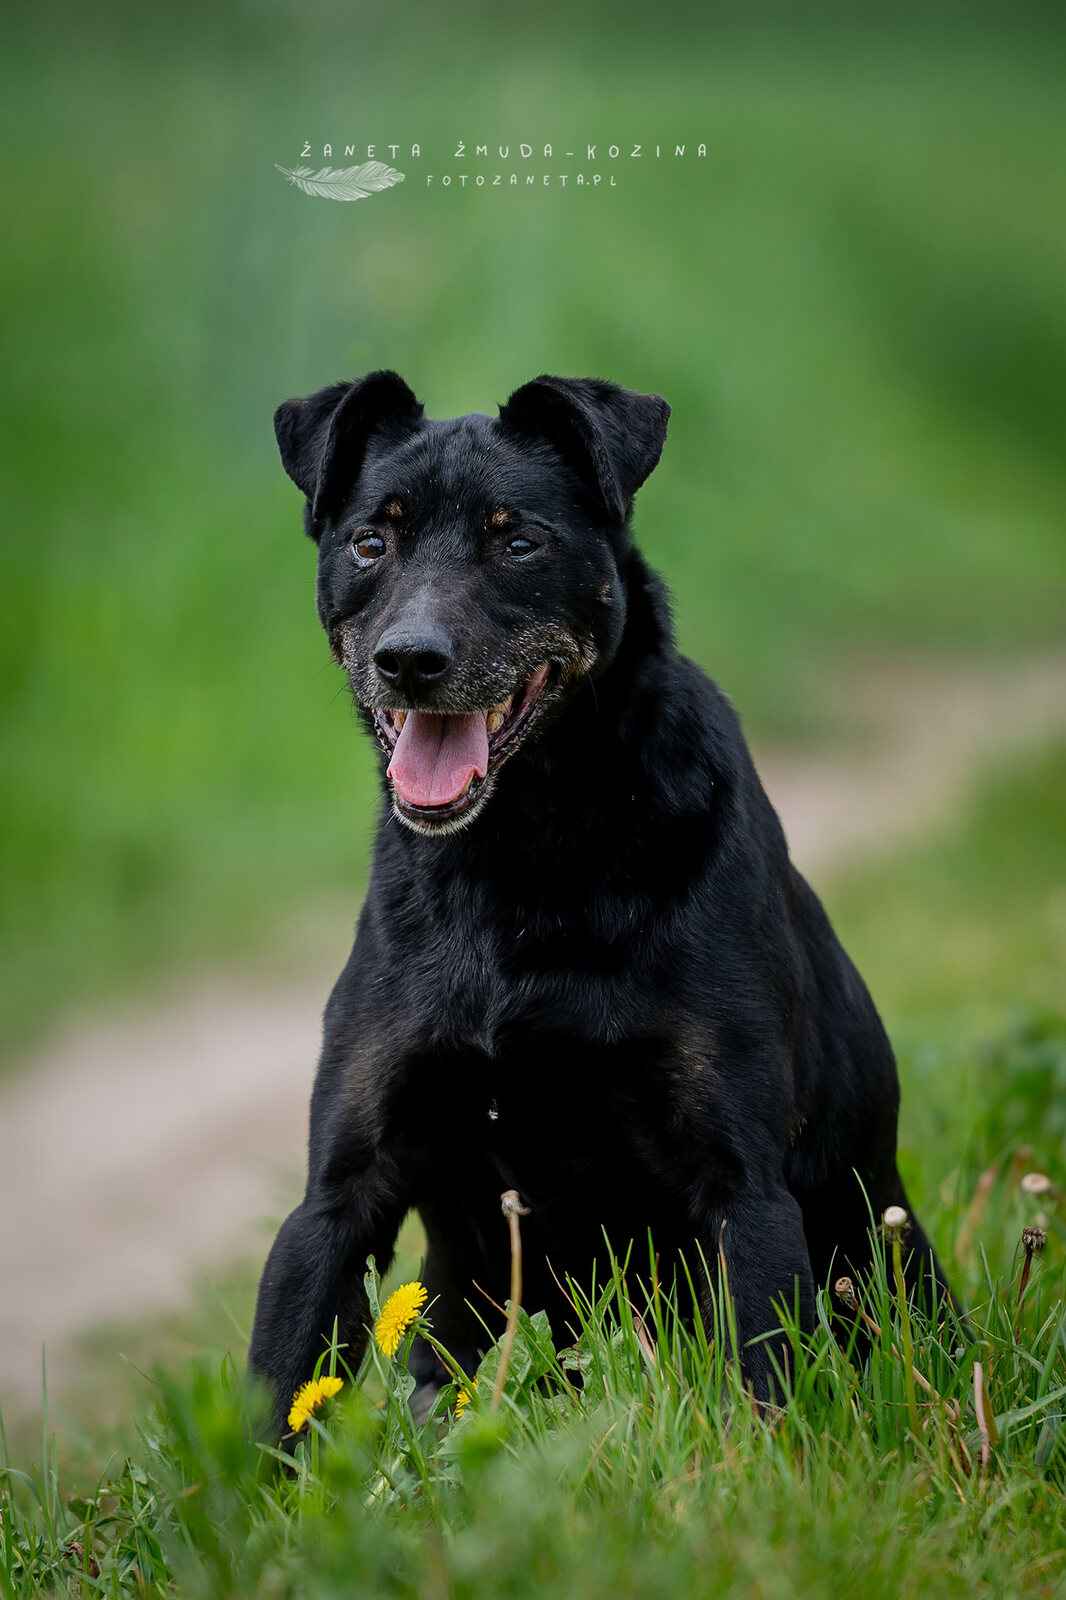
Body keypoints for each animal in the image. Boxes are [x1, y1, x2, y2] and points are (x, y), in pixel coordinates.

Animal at [249, 368, 947, 1433]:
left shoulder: (743, 1188)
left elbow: (769, 1393)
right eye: (372, 540)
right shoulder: (336, 1199)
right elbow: (272, 1409)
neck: (523, 856)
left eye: (518, 542)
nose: (411, 659)